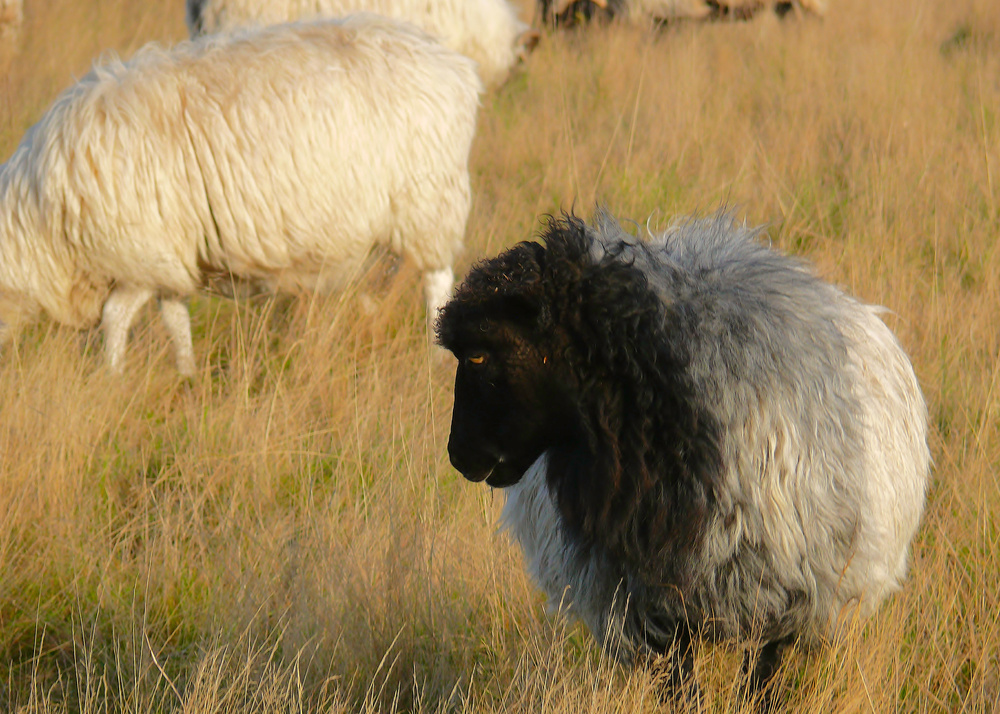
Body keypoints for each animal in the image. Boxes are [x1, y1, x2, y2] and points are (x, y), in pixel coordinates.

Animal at [0, 15, 484, 372]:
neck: (38, 224)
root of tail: (454, 65)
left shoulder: (141, 256)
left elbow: (115, 319)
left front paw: (112, 377)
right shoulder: (169, 260)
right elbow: (174, 317)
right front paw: (187, 373)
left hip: (428, 199)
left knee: (436, 280)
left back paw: (436, 361)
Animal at [438, 209, 928, 700]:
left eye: (478, 356)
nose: (459, 456)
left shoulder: (779, 599)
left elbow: (757, 686)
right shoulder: (647, 609)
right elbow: (681, 690)